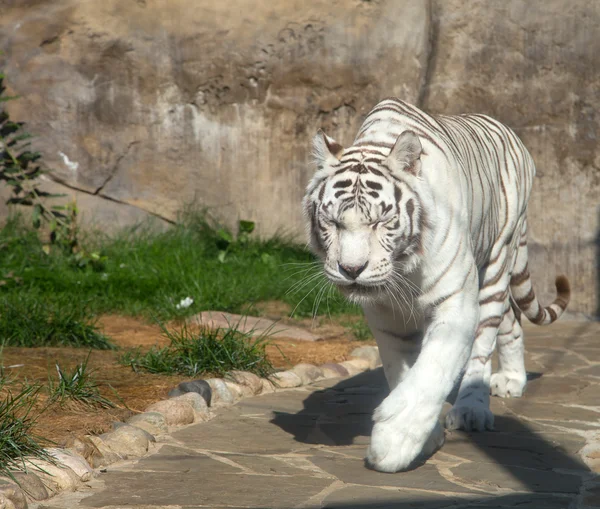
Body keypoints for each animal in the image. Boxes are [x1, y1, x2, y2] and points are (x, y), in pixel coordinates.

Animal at [302, 97, 568, 470]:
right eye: (332, 222)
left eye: (382, 221)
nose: (351, 269)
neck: (402, 269)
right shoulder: (386, 314)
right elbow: (401, 371)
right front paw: (426, 438)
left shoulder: (455, 301)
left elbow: (432, 370)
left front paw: (394, 443)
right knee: (512, 322)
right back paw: (513, 379)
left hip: (497, 261)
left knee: (485, 341)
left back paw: (473, 409)